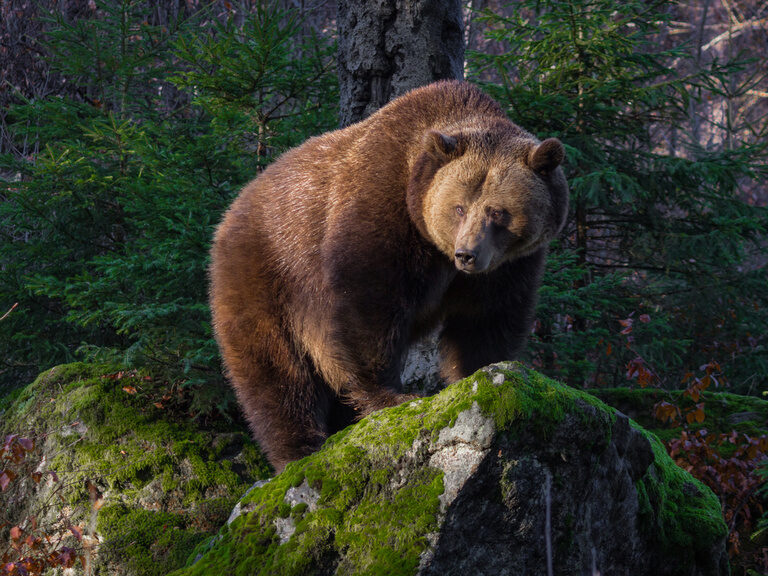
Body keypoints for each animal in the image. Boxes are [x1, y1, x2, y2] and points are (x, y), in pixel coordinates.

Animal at [209, 80, 569, 472]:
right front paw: (393, 395)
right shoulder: (380, 211)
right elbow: (369, 306)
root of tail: (230, 210)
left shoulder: (506, 266)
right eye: (458, 207)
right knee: (277, 370)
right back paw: (299, 447)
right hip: (268, 273)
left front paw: (478, 371)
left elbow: (487, 318)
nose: (467, 254)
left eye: (498, 211)